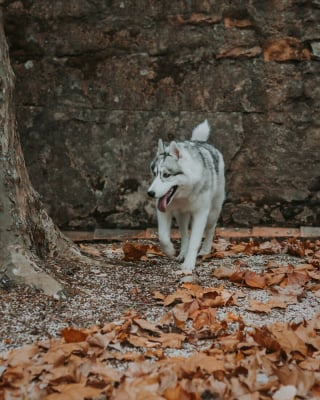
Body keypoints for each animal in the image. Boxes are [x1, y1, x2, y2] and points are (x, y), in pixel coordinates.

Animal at [148, 120, 225, 274]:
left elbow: (195, 240)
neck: (185, 193)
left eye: (166, 175)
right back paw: (182, 252)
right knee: (184, 234)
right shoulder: (164, 210)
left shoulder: (201, 214)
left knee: (211, 228)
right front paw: (170, 251)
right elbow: (163, 236)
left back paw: (205, 250)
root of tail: (200, 141)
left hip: (213, 212)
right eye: (154, 174)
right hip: (181, 216)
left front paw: (189, 263)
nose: (150, 193)